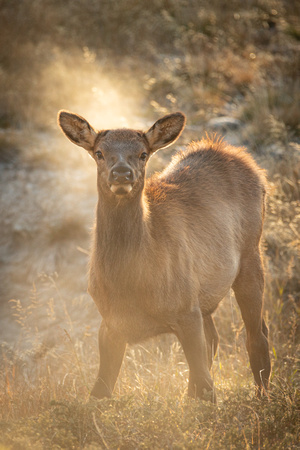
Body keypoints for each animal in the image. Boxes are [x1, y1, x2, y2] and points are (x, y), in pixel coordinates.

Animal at [58, 111, 272, 400]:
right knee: (214, 340)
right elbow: (100, 392)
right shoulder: (110, 322)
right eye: (99, 152)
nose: (122, 173)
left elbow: (207, 390)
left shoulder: (184, 309)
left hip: (250, 253)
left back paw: (262, 396)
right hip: (201, 293)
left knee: (256, 334)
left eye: (143, 154)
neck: (130, 284)